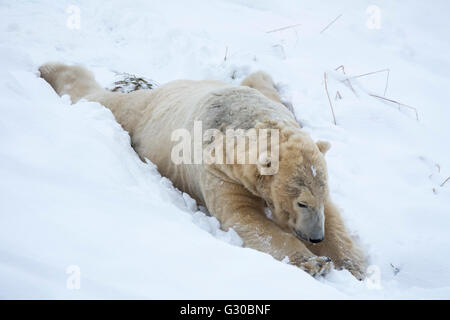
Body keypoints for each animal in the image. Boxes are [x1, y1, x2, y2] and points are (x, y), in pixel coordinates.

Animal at [39, 62, 366, 278]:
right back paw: (53, 70)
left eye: (320, 198)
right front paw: (314, 262)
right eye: (301, 202)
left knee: (261, 83)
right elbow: (244, 218)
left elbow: (336, 219)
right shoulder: (219, 170)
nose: (315, 238)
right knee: (106, 101)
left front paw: (353, 264)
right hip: (138, 116)